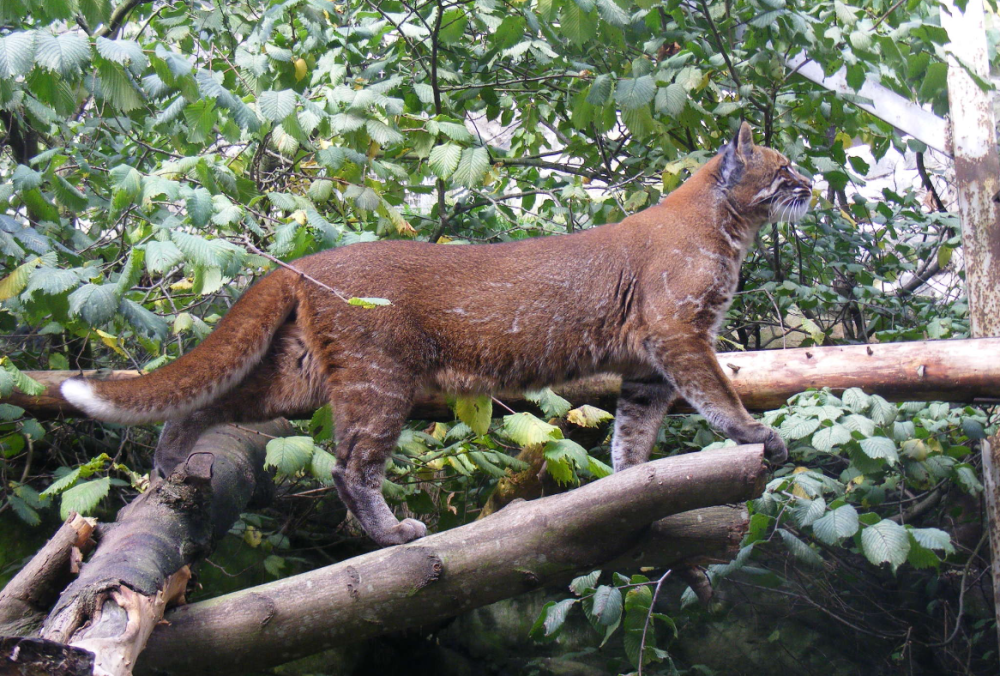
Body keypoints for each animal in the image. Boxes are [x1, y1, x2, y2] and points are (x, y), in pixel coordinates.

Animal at [62, 124, 812, 548]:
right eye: (782, 170)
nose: (813, 184)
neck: (726, 224)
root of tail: (306, 263)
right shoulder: (679, 334)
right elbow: (716, 391)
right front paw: (756, 435)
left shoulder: (649, 362)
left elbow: (634, 428)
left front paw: (630, 485)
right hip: (379, 378)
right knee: (351, 466)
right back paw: (393, 534)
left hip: (305, 372)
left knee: (215, 398)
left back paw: (170, 460)